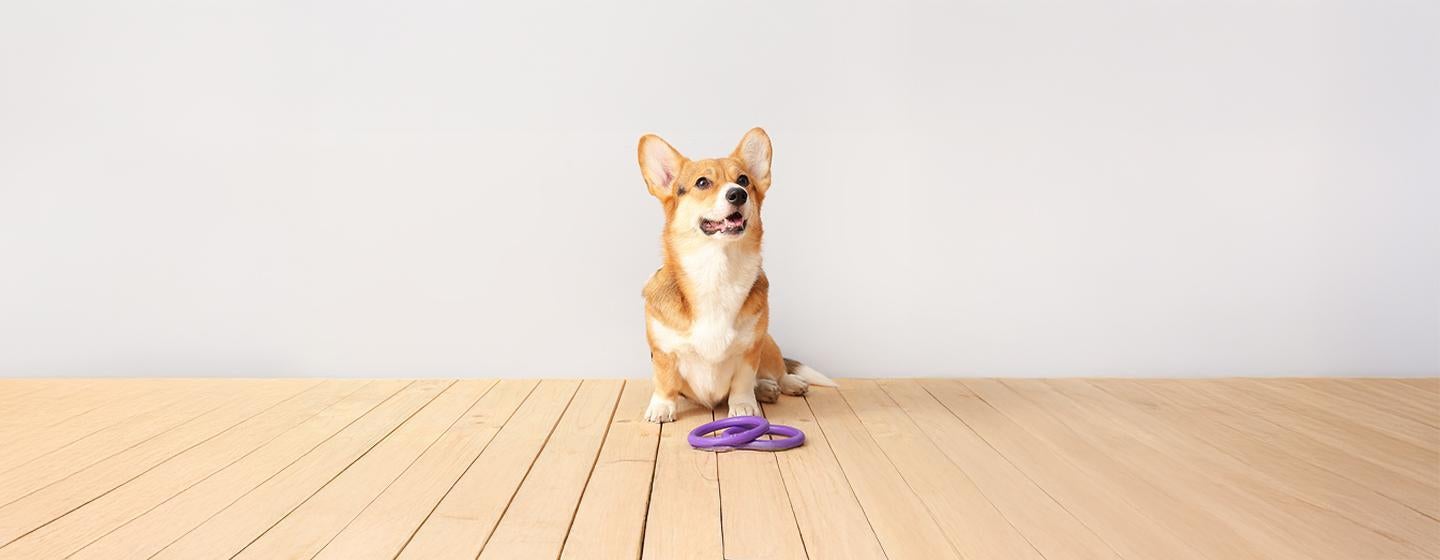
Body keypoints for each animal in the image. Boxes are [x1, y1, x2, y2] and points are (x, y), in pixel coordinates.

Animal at [637, 127, 835, 423]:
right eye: (703, 182)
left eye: (743, 180)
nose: (738, 194)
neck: (717, 269)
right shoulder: (663, 352)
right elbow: (665, 381)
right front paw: (662, 407)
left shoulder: (750, 349)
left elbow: (742, 382)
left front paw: (743, 406)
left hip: (767, 343)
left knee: (777, 370)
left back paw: (783, 384)